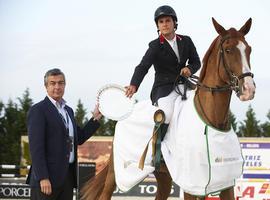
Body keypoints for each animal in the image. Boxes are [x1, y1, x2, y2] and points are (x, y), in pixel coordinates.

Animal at [80, 17, 255, 200]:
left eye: (249, 49)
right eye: (228, 50)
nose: (248, 89)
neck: (211, 119)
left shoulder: (225, 182)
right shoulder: (191, 184)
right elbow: (143, 66)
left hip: (163, 176)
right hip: (117, 173)